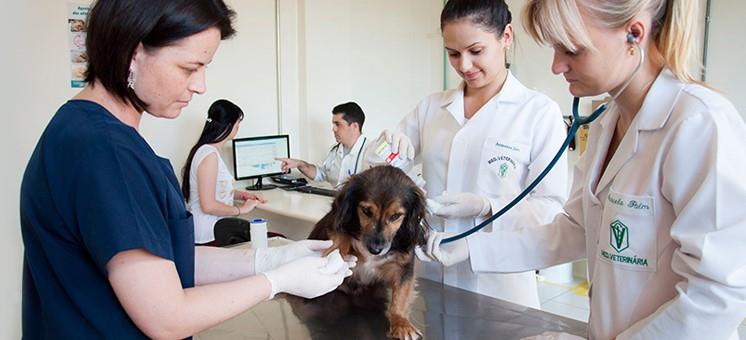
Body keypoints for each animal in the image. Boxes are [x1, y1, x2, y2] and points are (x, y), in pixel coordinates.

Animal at [308, 166, 428, 338]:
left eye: (396, 216)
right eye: (366, 211)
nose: (375, 250)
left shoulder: (403, 267)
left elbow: (400, 296)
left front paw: (401, 323)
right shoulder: (332, 225)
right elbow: (341, 234)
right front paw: (339, 252)